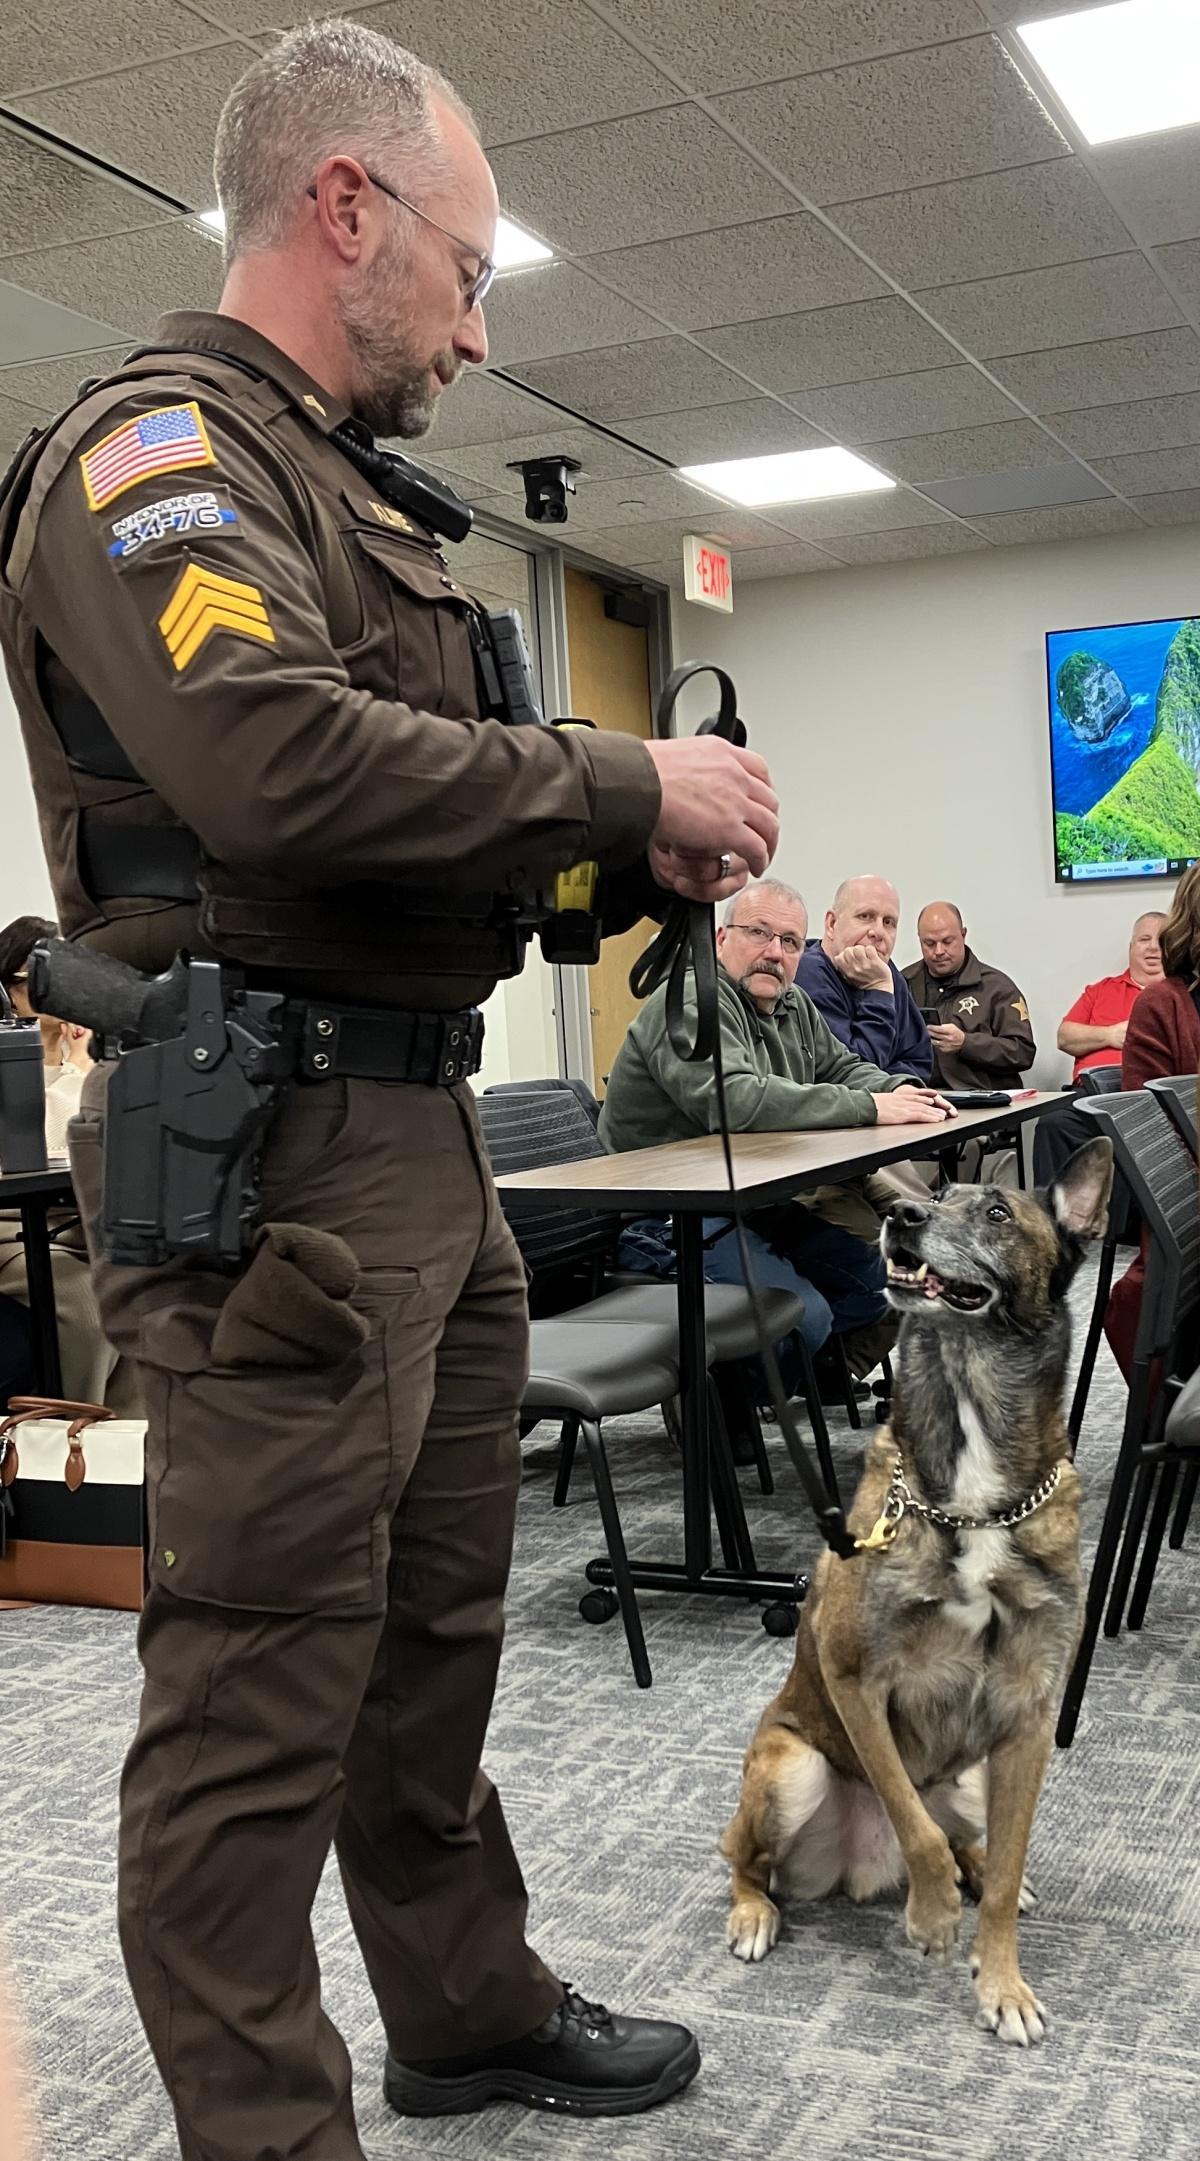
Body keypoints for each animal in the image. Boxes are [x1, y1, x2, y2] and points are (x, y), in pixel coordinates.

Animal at [717, 1141, 1115, 2048]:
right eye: (935, 1195)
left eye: (997, 1211)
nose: (901, 1216)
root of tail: (858, 1872)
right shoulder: (854, 1679)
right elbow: (912, 1817)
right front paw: (934, 1915)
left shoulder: (1028, 1717)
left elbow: (1000, 1865)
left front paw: (1002, 1980)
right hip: (791, 1766)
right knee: (744, 1860)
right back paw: (755, 1914)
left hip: (976, 1775)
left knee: (980, 1842)